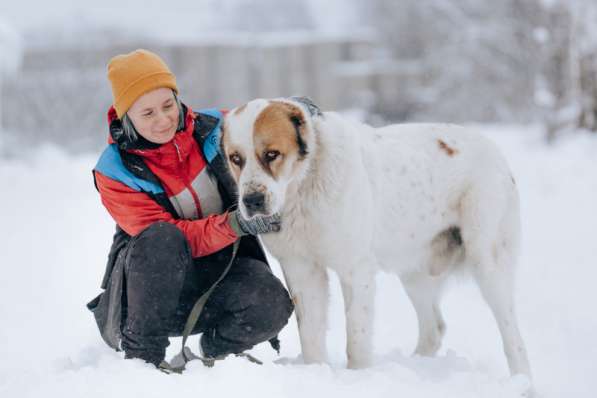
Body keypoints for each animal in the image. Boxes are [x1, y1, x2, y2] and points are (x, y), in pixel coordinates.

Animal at [220, 95, 532, 376]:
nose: (252, 200)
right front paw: (316, 371)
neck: (303, 186)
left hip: (487, 262)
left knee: (514, 339)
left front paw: (358, 377)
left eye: (272, 154)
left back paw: (522, 381)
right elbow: (310, 333)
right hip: (415, 272)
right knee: (434, 328)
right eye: (236, 159)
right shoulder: (302, 269)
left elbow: (356, 336)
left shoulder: (355, 270)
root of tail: (495, 150)